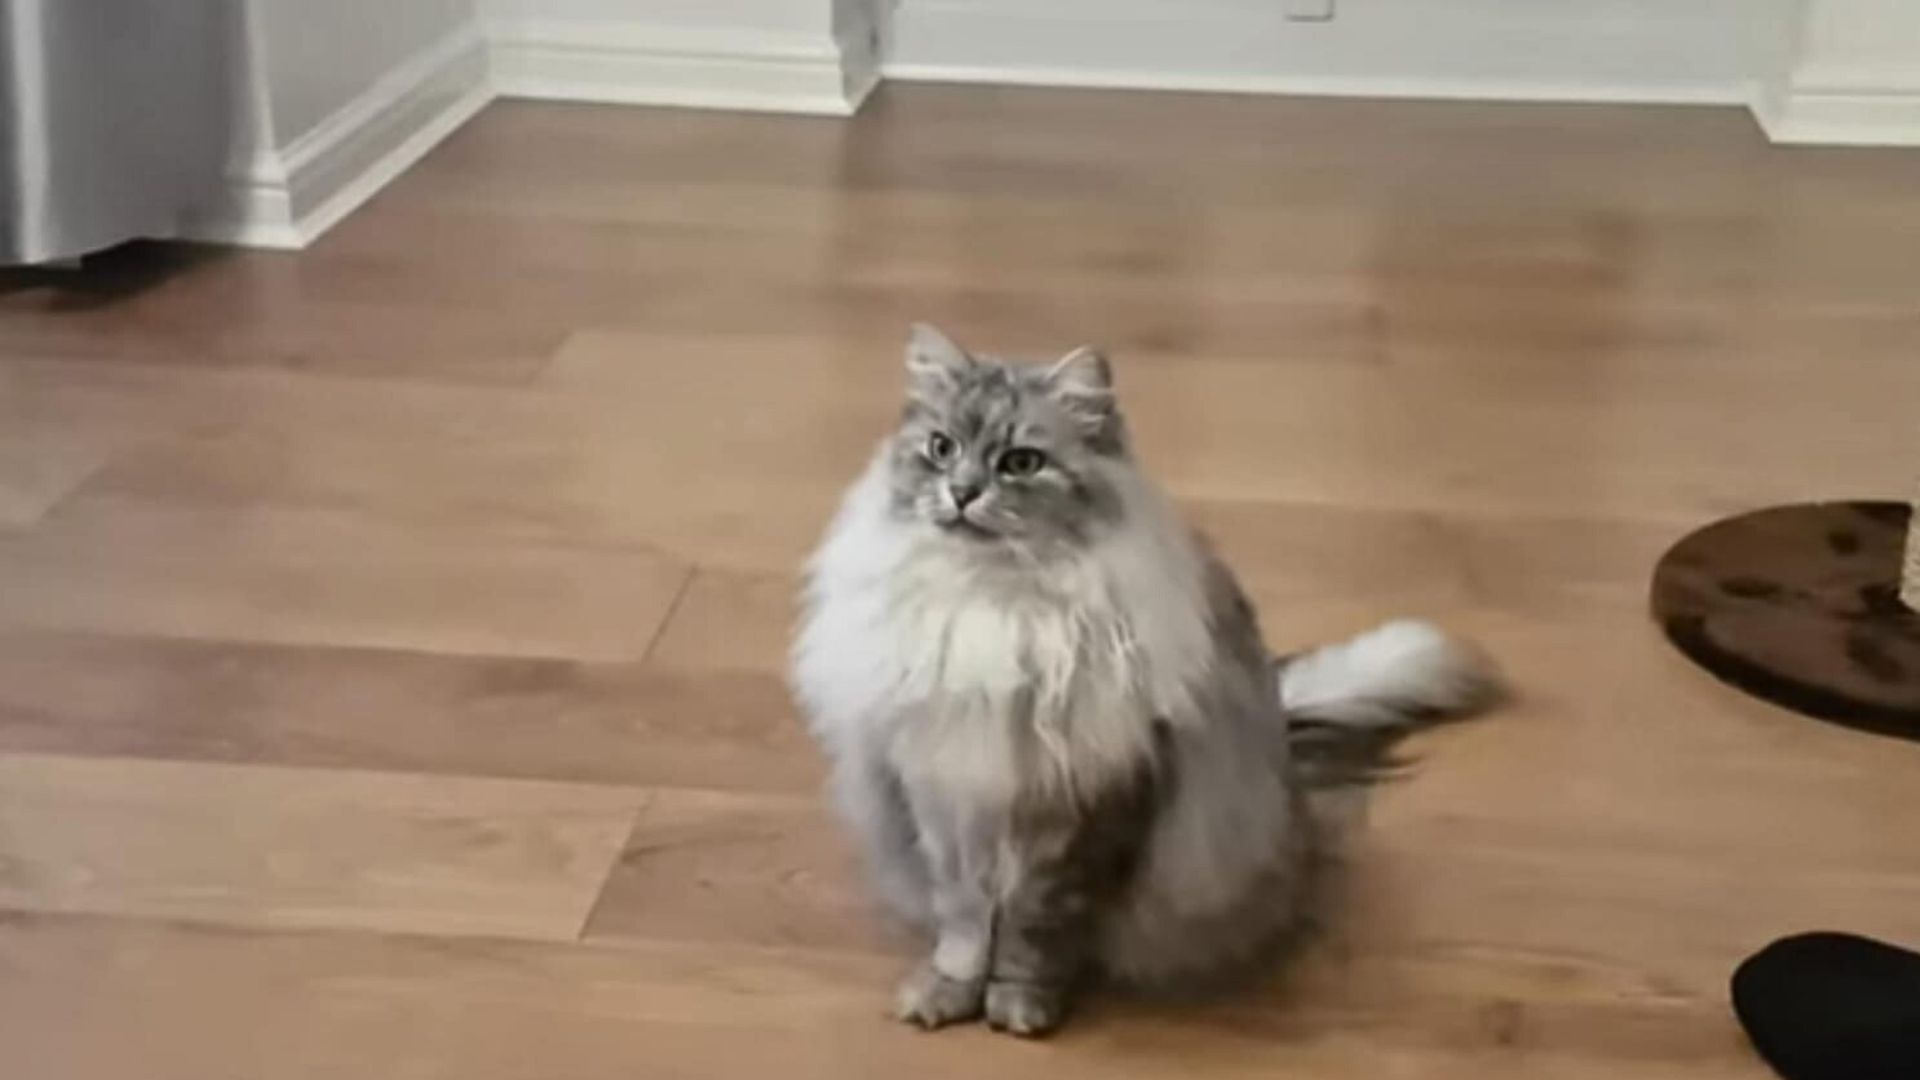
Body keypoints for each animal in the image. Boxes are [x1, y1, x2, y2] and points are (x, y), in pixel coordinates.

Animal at [787, 320, 1489, 1037]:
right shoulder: (945, 796)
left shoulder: (1081, 810)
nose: (961, 493)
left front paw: (1020, 1004)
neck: (996, 604)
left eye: (1020, 463)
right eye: (940, 448)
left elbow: (1033, 929)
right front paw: (947, 993)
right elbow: (963, 922)